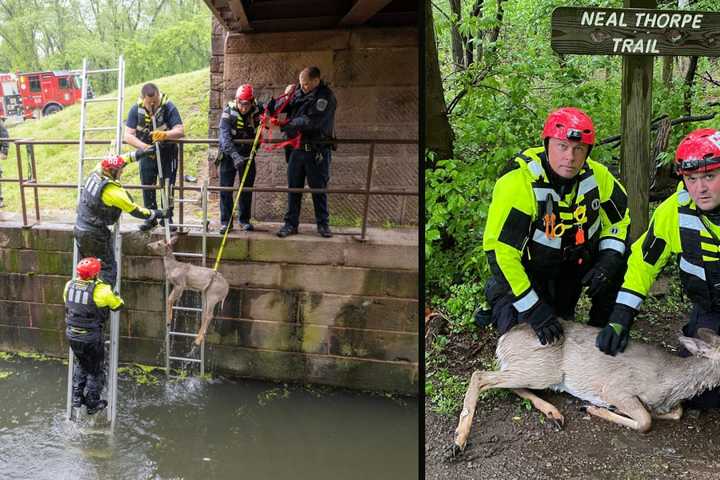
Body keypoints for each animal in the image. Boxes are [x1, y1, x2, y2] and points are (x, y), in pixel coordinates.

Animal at [452, 318, 720, 454]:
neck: (668, 379)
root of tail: (503, 339)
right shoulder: (616, 387)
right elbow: (645, 421)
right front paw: (595, 408)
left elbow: (676, 412)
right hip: (542, 370)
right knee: (479, 375)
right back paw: (458, 441)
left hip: (532, 370)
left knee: (507, 384)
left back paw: (555, 414)